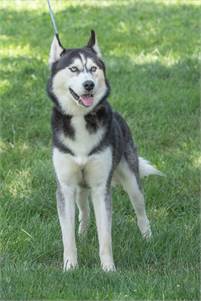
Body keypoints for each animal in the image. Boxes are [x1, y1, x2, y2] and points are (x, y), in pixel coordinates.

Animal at [47, 29, 162, 270]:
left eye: (93, 68)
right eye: (73, 69)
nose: (89, 84)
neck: (81, 118)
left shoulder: (101, 188)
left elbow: (105, 235)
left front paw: (108, 269)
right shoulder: (65, 187)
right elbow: (67, 235)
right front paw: (70, 267)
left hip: (132, 181)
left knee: (140, 210)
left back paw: (147, 238)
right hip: (80, 189)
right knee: (84, 210)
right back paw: (82, 233)